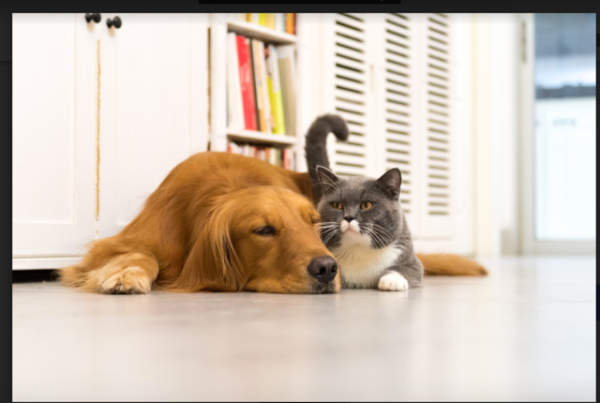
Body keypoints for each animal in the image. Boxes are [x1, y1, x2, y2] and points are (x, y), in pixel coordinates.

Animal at [58, 152, 486, 296]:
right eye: (264, 231)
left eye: (315, 224)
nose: (328, 269)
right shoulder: (129, 240)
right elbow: (139, 254)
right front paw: (127, 274)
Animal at [304, 115, 422, 292]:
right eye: (337, 205)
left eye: (366, 205)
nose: (348, 217)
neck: (358, 250)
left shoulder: (410, 259)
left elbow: (406, 269)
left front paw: (391, 280)